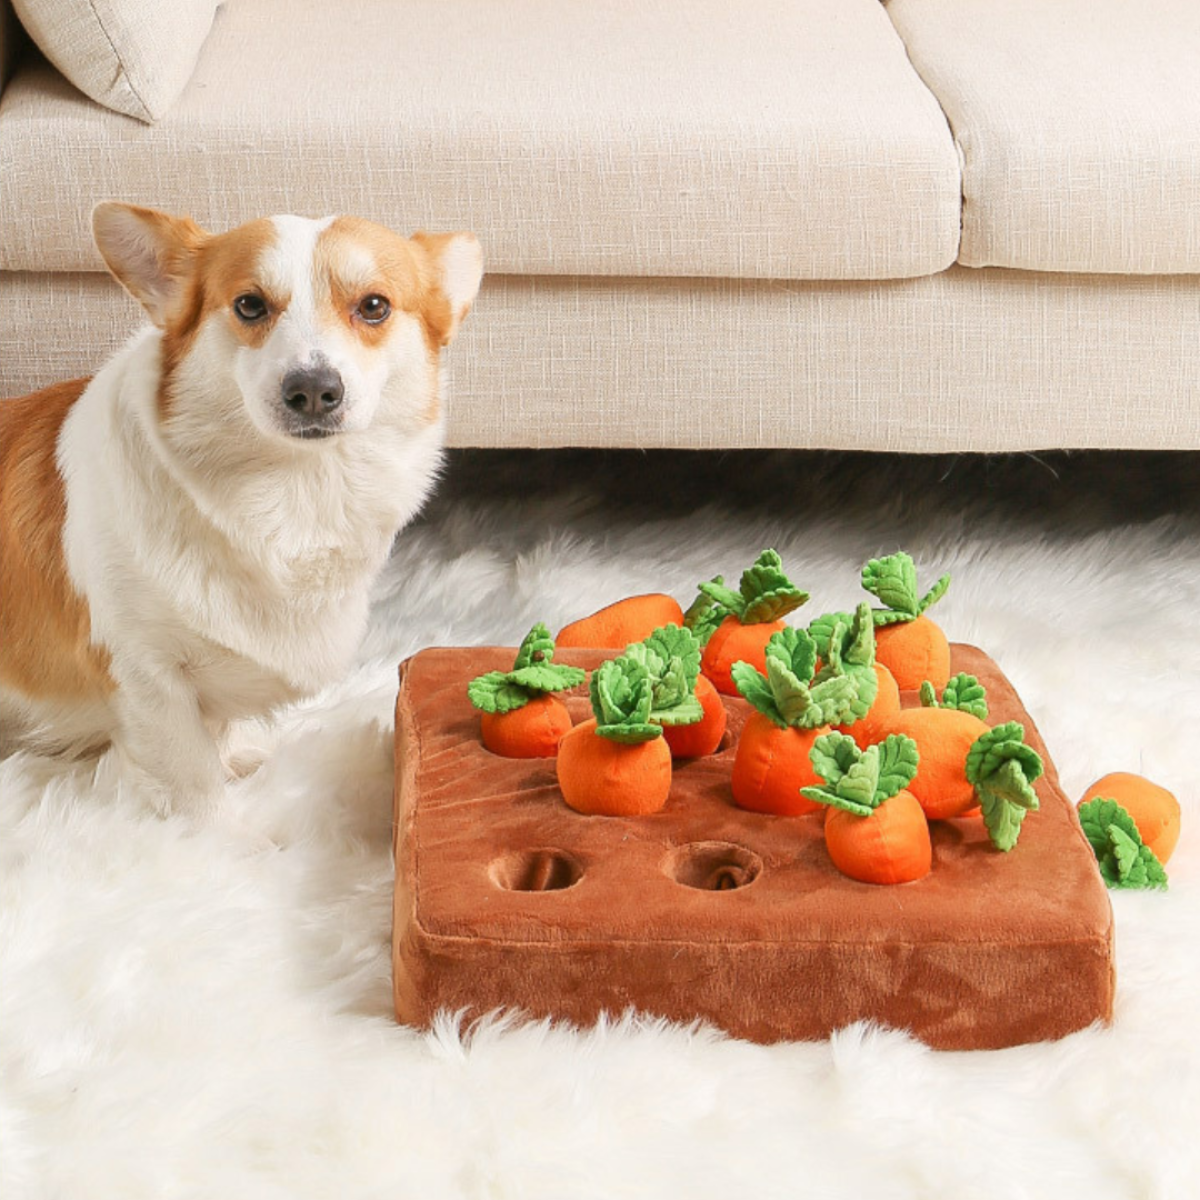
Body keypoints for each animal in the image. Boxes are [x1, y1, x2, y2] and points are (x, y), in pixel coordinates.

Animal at [1, 206, 477, 820]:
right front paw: (221, 832)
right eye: (250, 305)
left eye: (374, 306)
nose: (313, 390)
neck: (295, 492)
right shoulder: (145, 673)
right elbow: (194, 787)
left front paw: (241, 761)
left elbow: (221, 736)